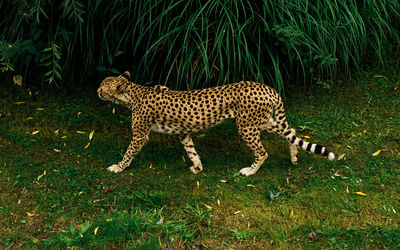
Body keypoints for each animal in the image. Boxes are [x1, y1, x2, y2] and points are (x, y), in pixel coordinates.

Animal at [97, 71, 334, 176]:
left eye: (103, 86)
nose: (97, 91)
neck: (133, 92)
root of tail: (267, 87)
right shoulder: (183, 132)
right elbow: (191, 150)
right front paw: (198, 166)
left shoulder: (140, 134)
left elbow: (129, 151)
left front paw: (118, 167)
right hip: (261, 121)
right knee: (290, 130)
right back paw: (293, 156)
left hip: (247, 126)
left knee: (263, 151)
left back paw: (250, 171)